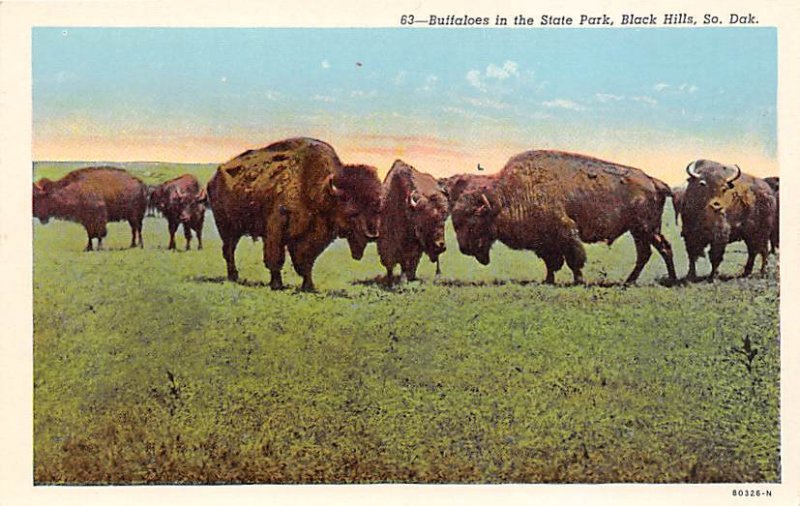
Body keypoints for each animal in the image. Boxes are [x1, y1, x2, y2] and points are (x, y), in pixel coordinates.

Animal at [206, 136, 382, 290]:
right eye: (352, 211)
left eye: (377, 208)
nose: (372, 235)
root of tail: (214, 178)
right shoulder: (277, 227)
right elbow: (276, 258)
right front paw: (277, 285)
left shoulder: (311, 236)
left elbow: (306, 261)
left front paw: (308, 286)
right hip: (227, 228)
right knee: (229, 250)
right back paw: (233, 277)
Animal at [450, 150, 676, 284]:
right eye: (455, 223)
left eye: (473, 221)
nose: (464, 249)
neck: (505, 196)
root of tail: (653, 181)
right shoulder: (544, 242)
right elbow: (551, 263)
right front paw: (548, 281)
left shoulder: (566, 233)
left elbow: (574, 260)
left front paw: (578, 281)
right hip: (641, 231)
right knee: (647, 253)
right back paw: (631, 281)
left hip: (645, 229)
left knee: (661, 249)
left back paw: (666, 280)